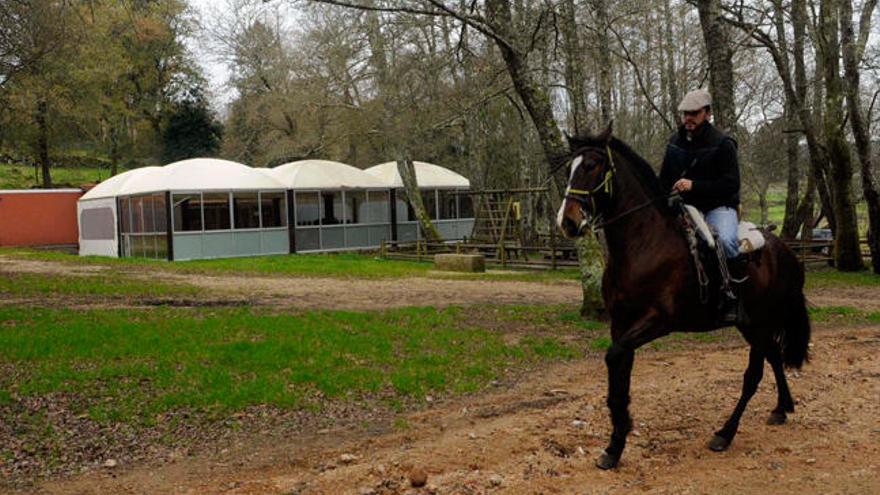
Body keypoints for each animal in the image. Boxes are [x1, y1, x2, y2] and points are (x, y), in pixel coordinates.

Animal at [556, 126, 812, 470]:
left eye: (592, 166)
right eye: (569, 169)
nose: (567, 221)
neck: (643, 245)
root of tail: (785, 251)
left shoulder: (658, 321)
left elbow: (614, 358)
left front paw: (620, 435)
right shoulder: (621, 324)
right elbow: (619, 375)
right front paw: (615, 443)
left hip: (759, 323)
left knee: (754, 374)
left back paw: (725, 434)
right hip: (752, 325)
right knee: (773, 355)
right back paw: (782, 407)